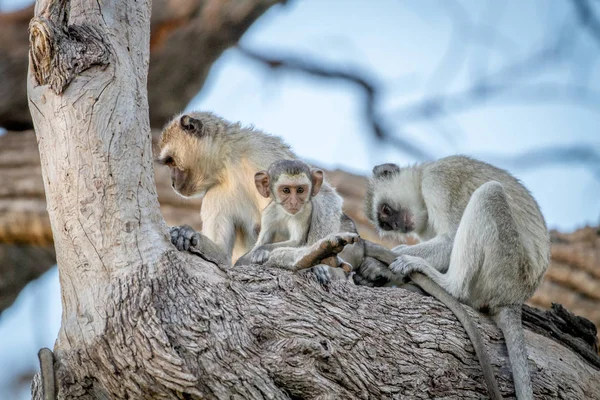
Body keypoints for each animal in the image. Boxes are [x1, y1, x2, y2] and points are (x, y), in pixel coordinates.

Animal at [236, 159, 364, 282]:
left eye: (300, 190)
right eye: (286, 190)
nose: (294, 202)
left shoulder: (304, 211)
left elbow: (297, 242)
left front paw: (261, 250)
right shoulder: (269, 213)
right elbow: (262, 241)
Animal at [364, 155, 552, 400]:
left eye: (386, 210)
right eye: (386, 223)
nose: (396, 225)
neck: (421, 179)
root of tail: (514, 298)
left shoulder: (439, 182)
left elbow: (451, 240)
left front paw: (381, 257)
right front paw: (379, 269)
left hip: (507, 269)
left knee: (489, 194)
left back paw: (447, 283)